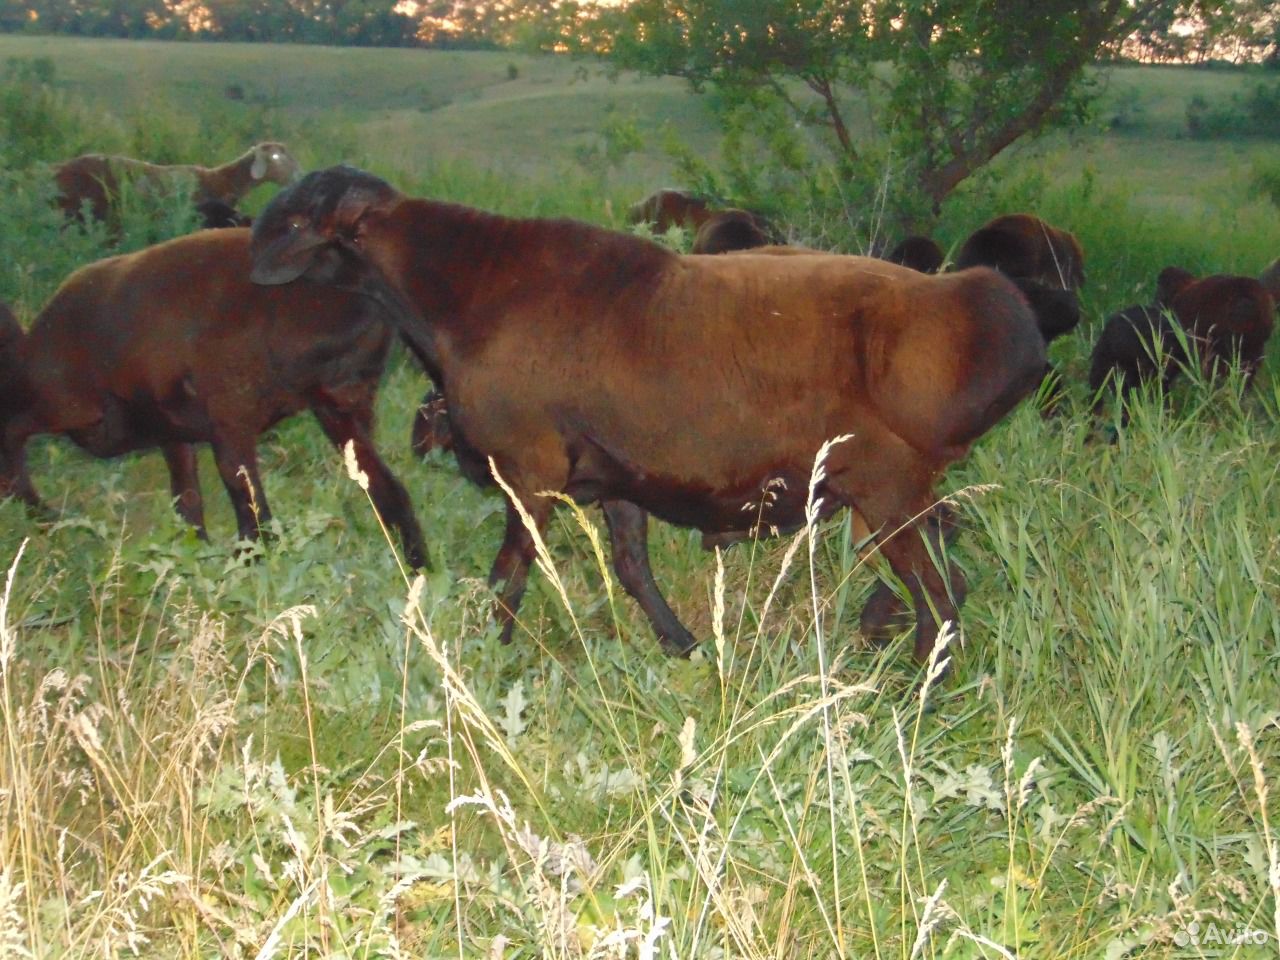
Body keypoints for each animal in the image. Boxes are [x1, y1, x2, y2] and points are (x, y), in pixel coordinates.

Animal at [252, 167, 1049, 670]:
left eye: (293, 219)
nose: (252, 267)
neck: (466, 294)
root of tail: (981, 310)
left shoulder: (528, 468)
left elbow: (512, 573)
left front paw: (490, 653)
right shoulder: (617, 477)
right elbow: (633, 568)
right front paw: (685, 647)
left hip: (887, 490)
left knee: (942, 600)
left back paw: (917, 697)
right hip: (903, 495)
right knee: (948, 579)